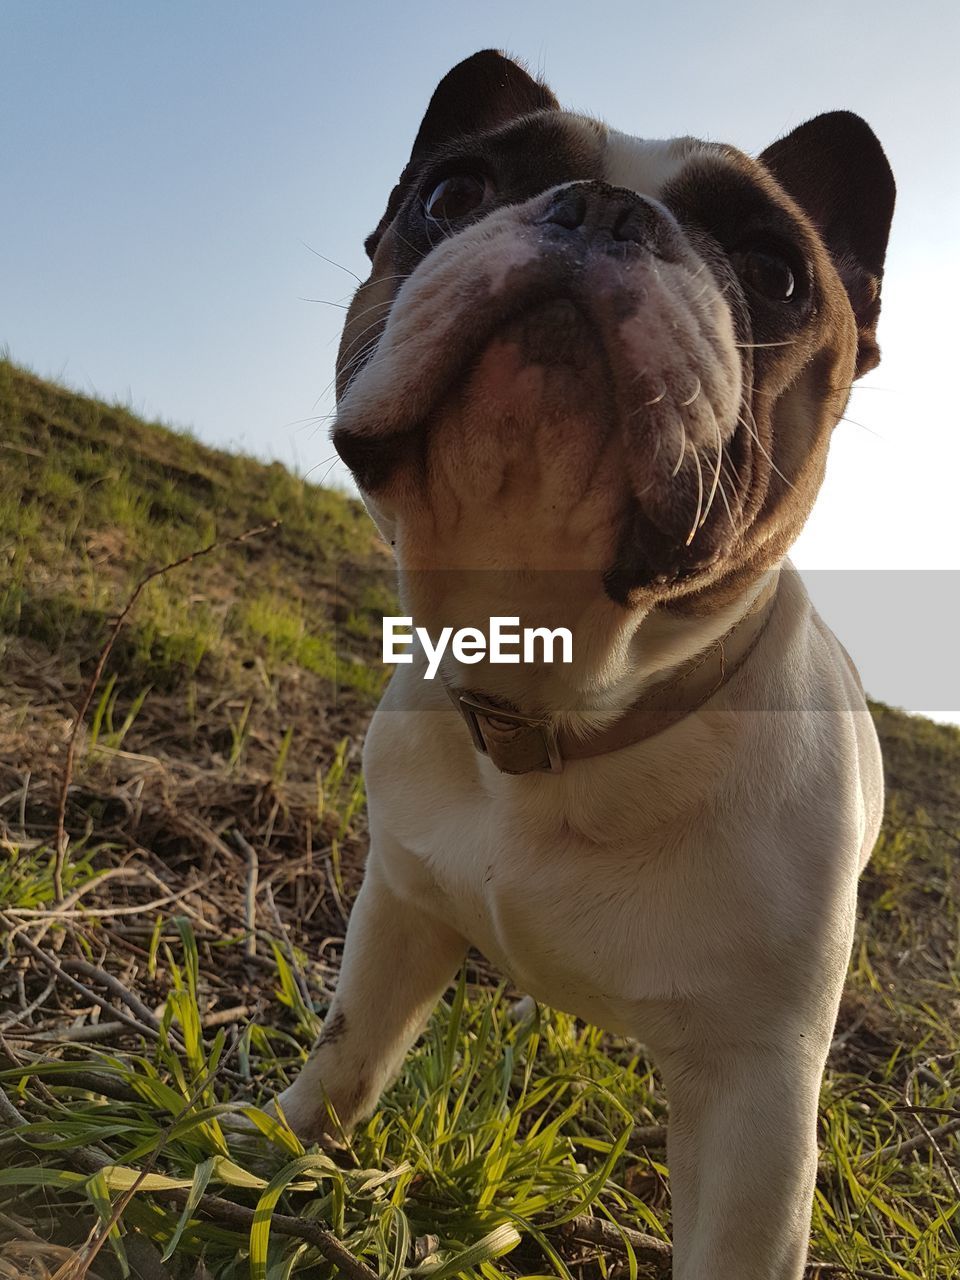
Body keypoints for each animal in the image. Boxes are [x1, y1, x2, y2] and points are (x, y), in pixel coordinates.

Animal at [276, 52, 896, 1280]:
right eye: (454, 194)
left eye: (776, 273)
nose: (603, 209)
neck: (561, 704)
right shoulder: (400, 906)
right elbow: (347, 1053)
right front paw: (259, 1145)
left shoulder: (756, 1096)